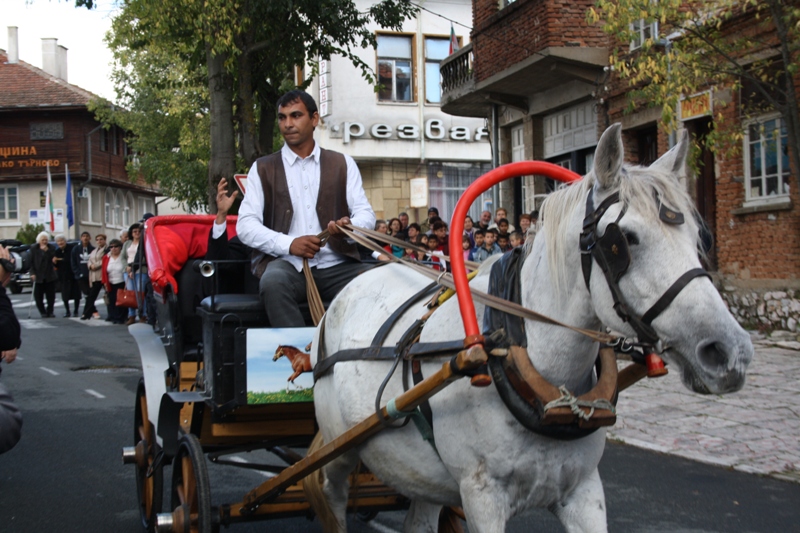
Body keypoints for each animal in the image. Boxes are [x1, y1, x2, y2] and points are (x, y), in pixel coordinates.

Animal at [306, 122, 752, 528]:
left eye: (699, 235)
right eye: (623, 240)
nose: (730, 351)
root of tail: (344, 294)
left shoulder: (584, 492)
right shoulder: (482, 497)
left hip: (423, 477)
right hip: (341, 450)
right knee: (331, 491)